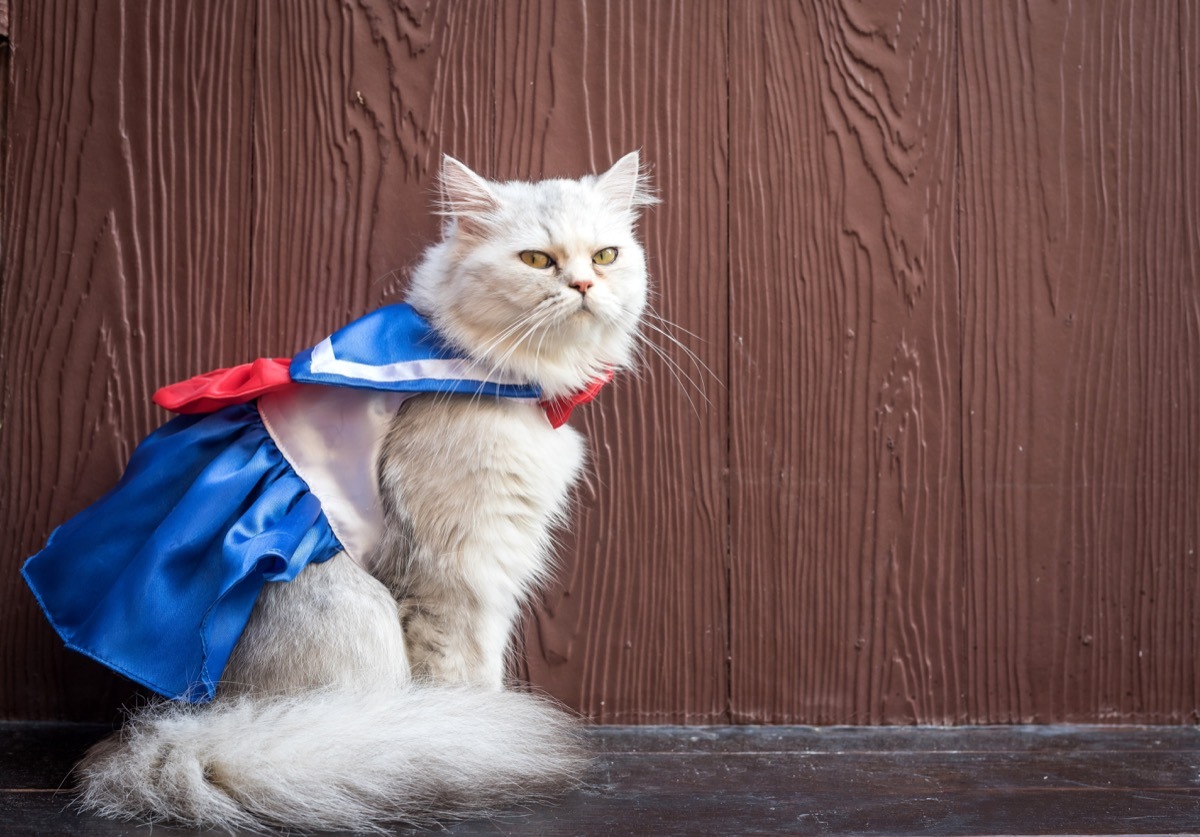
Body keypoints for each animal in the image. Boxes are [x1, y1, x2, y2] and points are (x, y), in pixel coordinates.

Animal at [60, 151, 657, 829]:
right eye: (536, 260)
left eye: (605, 256)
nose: (584, 286)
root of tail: (188, 725)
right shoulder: (456, 576)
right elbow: (467, 678)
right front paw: (480, 732)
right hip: (363, 615)